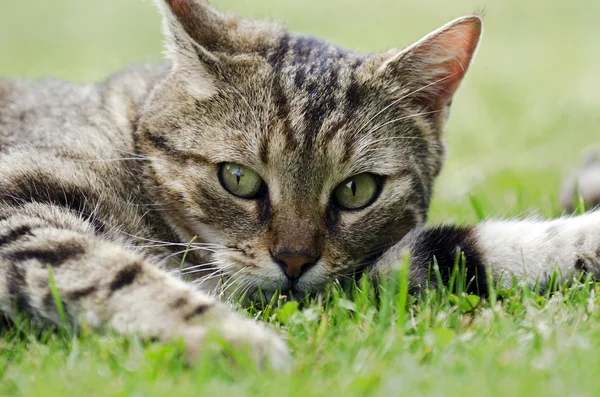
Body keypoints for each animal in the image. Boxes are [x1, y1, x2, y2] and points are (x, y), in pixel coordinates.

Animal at [1, 0, 600, 366]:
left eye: (357, 190)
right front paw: (237, 340)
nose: (294, 261)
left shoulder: (354, 279)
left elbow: (473, 247)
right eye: (239, 178)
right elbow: (109, 270)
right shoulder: (17, 209)